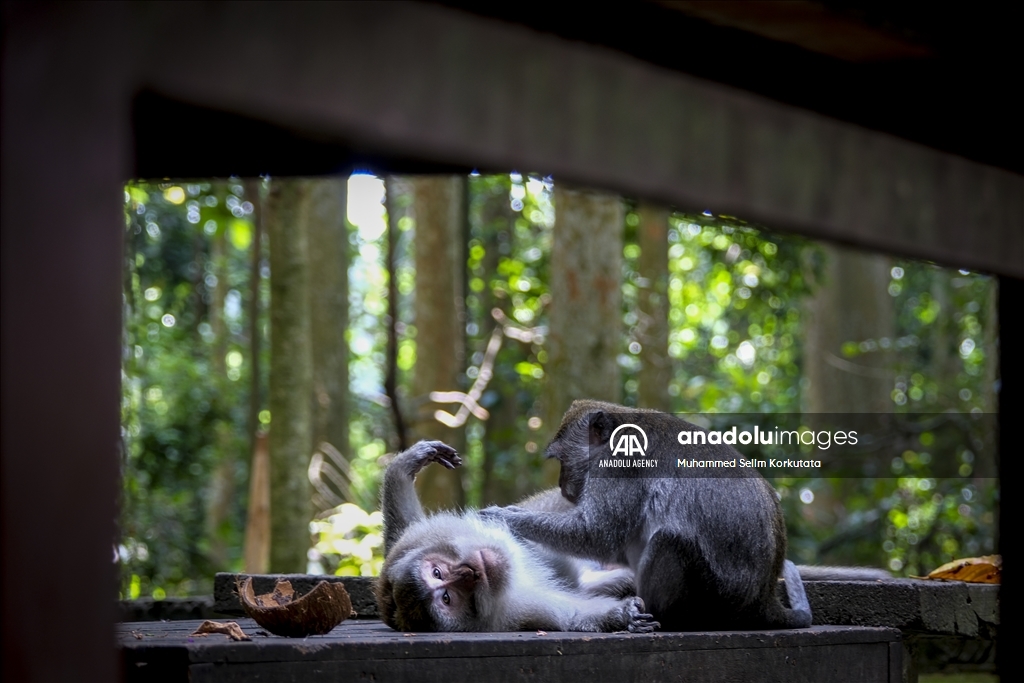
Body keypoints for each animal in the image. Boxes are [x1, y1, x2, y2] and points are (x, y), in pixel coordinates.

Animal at [374, 440, 655, 634]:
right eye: (447, 598)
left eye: (436, 572)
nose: (469, 572)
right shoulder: (515, 613)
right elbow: (574, 613)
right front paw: (622, 615)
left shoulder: (414, 541)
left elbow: (405, 525)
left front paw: (406, 464)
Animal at [483, 401, 811, 630]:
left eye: (563, 459)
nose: (563, 486)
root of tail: (762, 601)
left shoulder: (618, 466)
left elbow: (598, 535)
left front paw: (508, 517)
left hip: (716, 601)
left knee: (669, 540)